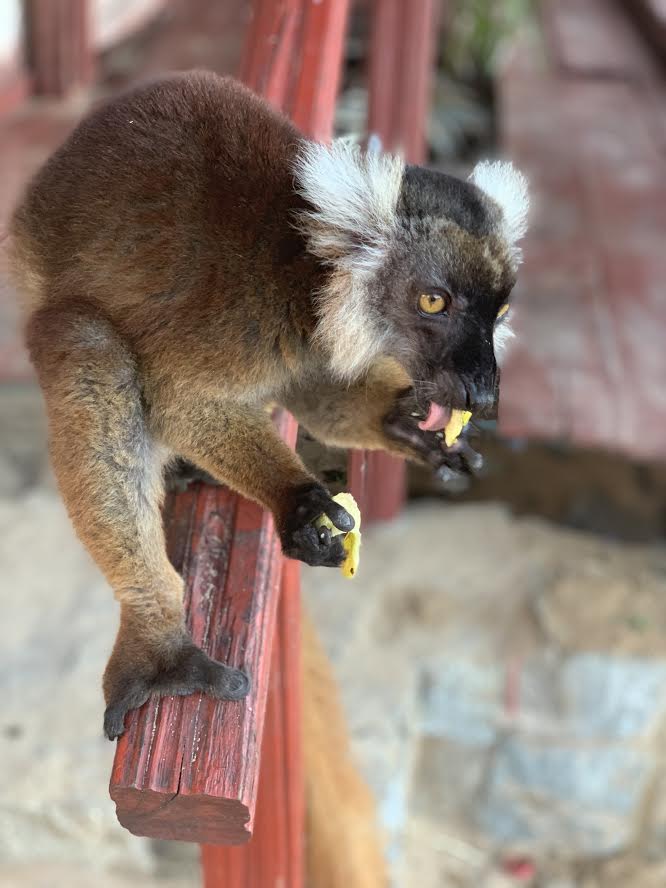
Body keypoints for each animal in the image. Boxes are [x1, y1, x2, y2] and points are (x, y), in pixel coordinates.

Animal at [8, 71, 528, 740]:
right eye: (433, 301)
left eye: (501, 312)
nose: (482, 393)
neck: (311, 272)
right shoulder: (245, 312)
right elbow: (182, 400)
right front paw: (298, 500)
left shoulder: (312, 331)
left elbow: (320, 388)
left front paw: (411, 427)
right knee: (90, 346)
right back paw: (158, 641)